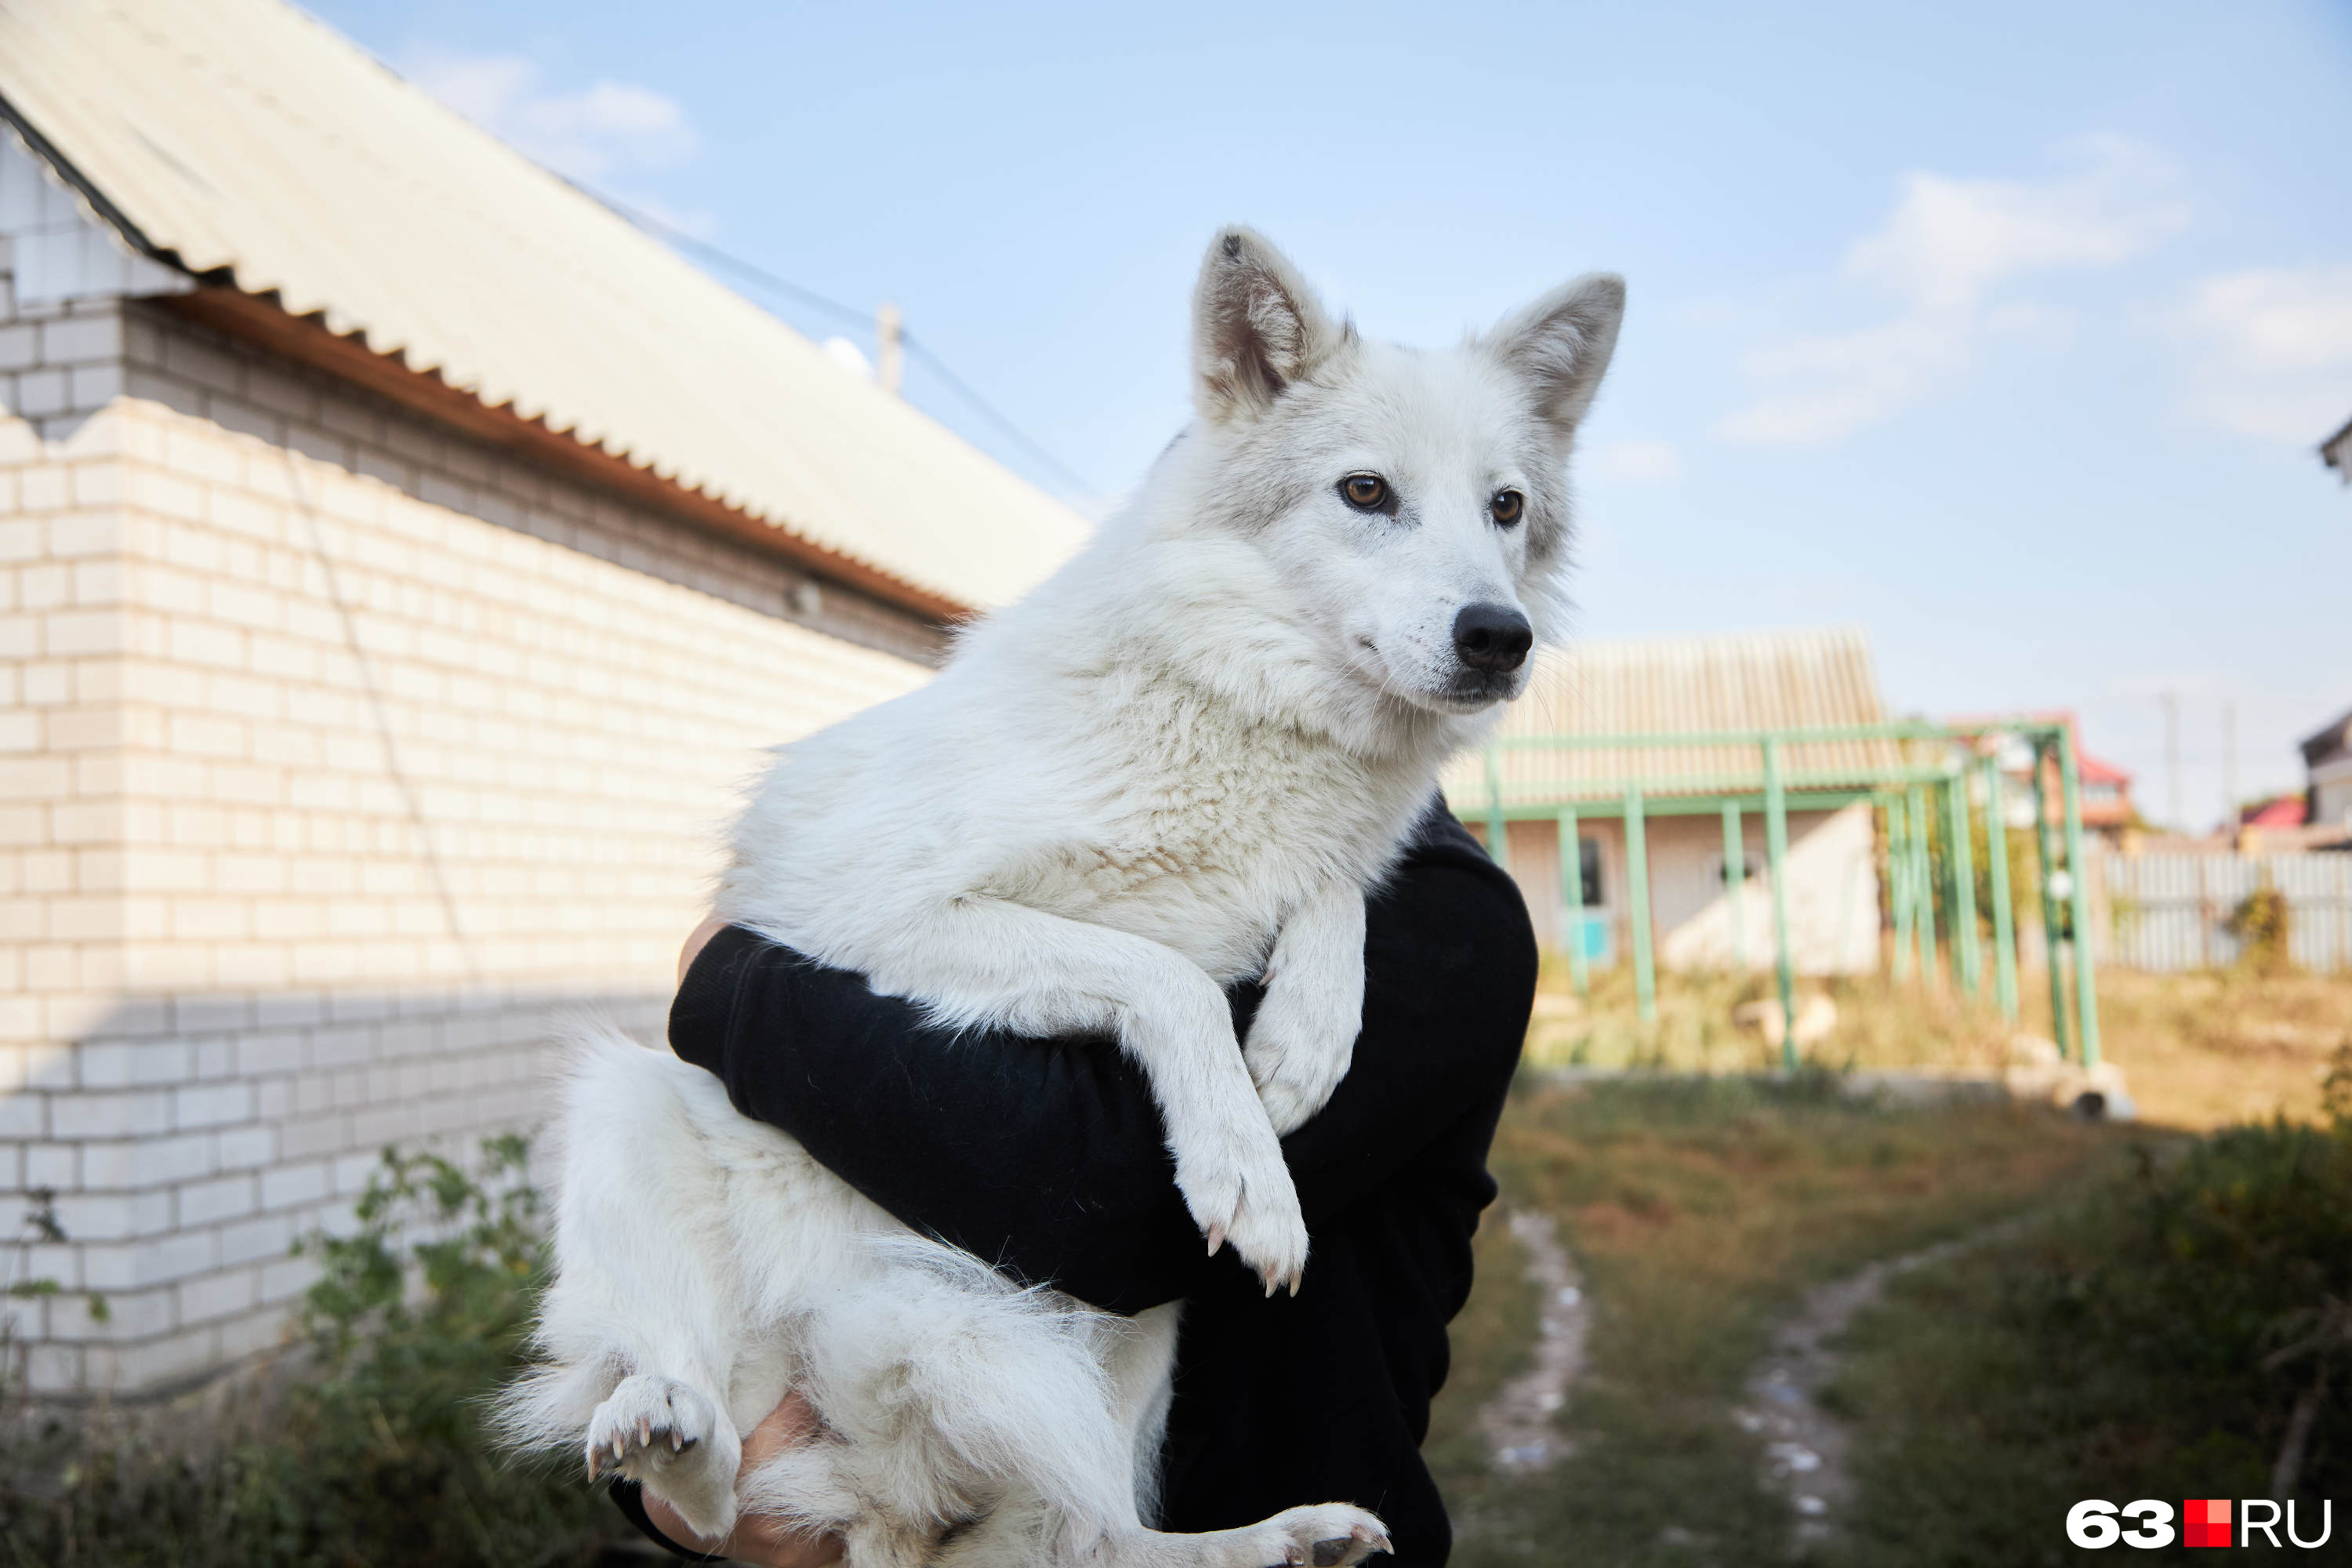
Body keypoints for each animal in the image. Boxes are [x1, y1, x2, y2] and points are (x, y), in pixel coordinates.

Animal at [501, 223, 1618, 1568]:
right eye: (1365, 494)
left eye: (1507, 509)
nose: (1498, 638)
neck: (1240, 724)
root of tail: (873, 1485)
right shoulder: (885, 911)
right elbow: (1170, 975)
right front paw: (1252, 1161)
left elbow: (1335, 891)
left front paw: (1306, 1037)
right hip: (624, 1106)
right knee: (697, 1449)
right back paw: (669, 1431)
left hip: (1142, 1325)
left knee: (1097, 1537)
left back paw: (1289, 1539)